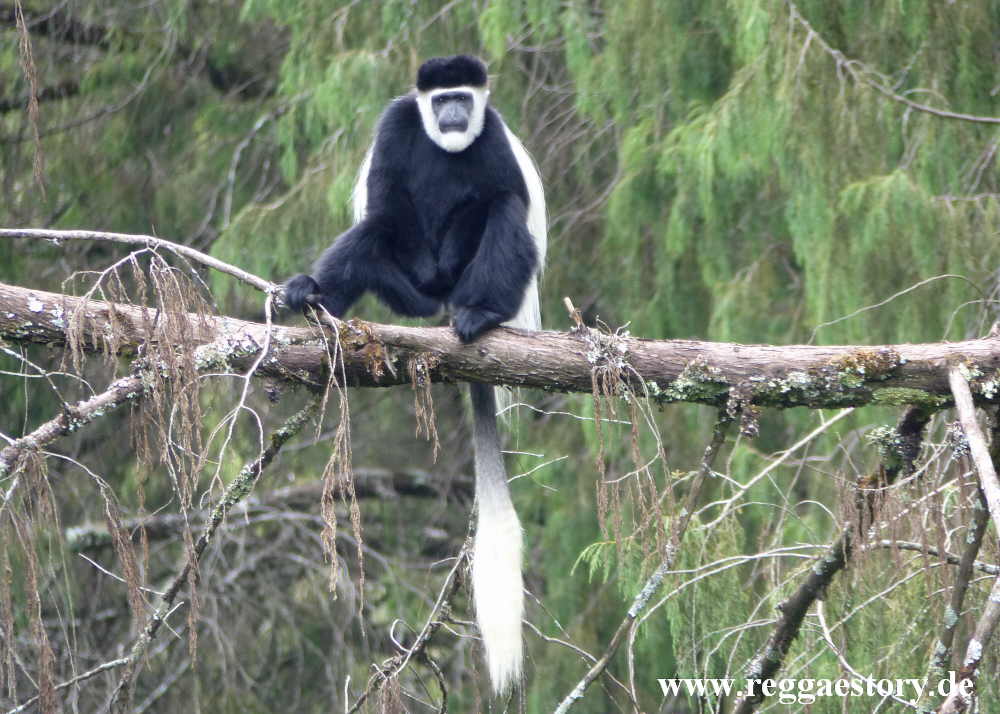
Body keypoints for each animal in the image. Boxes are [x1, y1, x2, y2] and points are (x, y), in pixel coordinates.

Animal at [285, 54, 545, 694]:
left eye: (463, 98)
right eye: (440, 98)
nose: (452, 115)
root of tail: (444, 304)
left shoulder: (493, 132)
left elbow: (501, 193)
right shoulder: (397, 123)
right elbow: (385, 201)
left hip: (480, 279)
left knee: (501, 211)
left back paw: (479, 314)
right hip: (407, 292)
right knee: (373, 232)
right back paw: (311, 295)